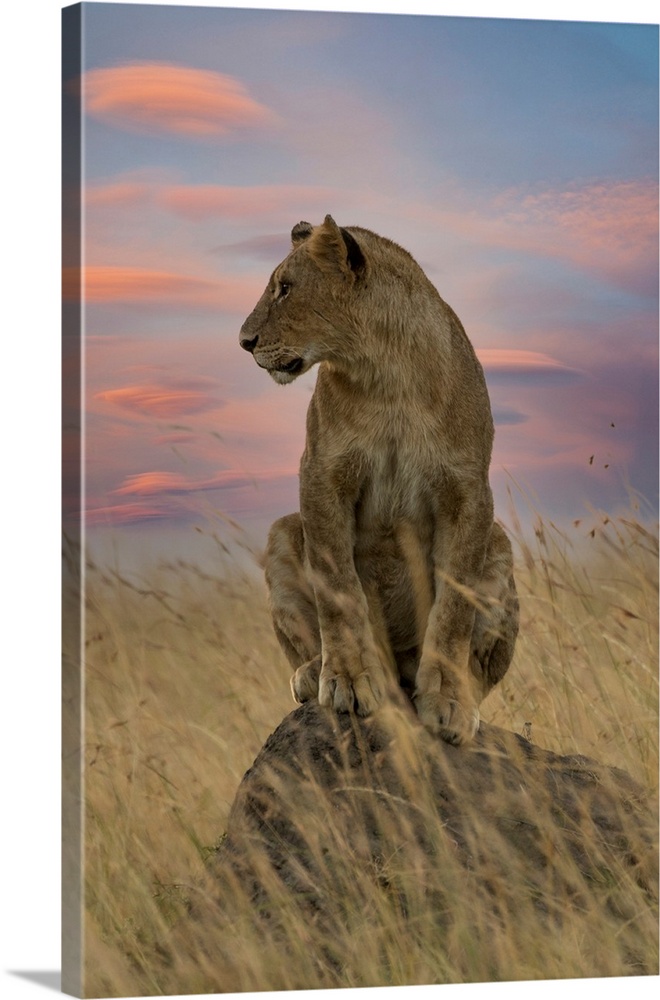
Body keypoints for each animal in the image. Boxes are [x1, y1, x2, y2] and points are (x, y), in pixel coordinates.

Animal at [239, 215, 518, 745]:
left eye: (285, 288)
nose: (244, 341)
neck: (385, 374)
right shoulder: (322, 475)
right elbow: (338, 591)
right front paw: (348, 681)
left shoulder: (469, 490)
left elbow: (454, 605)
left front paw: (449, 702)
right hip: (284, 532)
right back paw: (315, 673)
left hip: (500, 544)